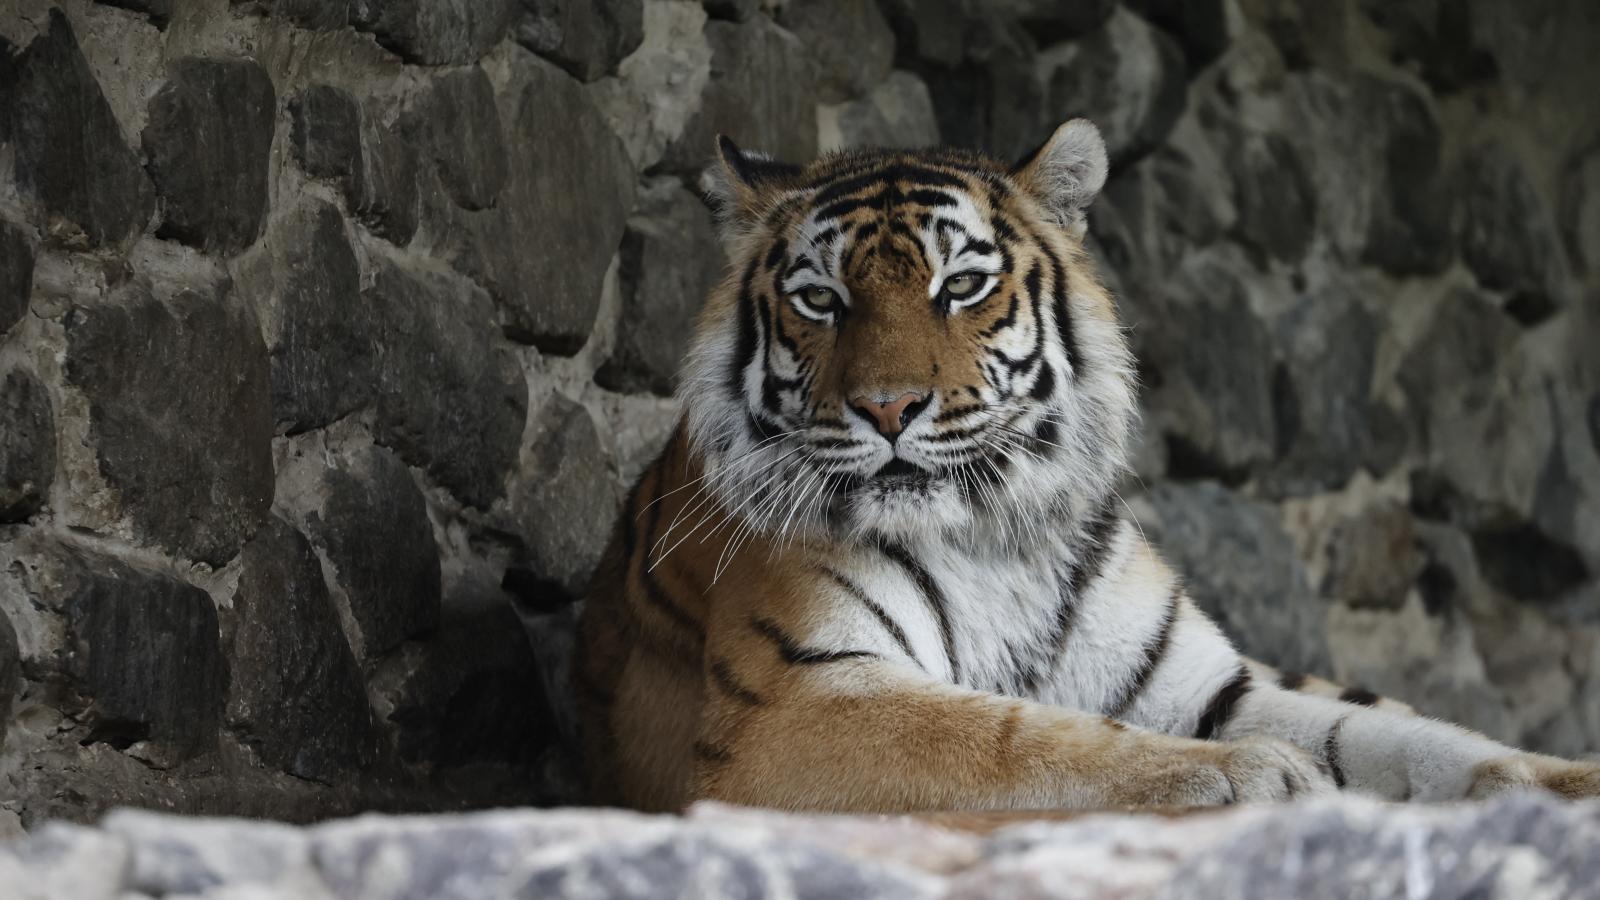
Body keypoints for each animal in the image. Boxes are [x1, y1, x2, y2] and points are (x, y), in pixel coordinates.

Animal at [576, 119, 1600, 813]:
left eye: (961, 286)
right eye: (821, 300)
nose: (889, 408)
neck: (989, 535)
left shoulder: (1208, 687)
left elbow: (1409, 738)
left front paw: (1551, 780)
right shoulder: (796, 699)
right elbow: (1017, 736)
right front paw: (1257, 774)